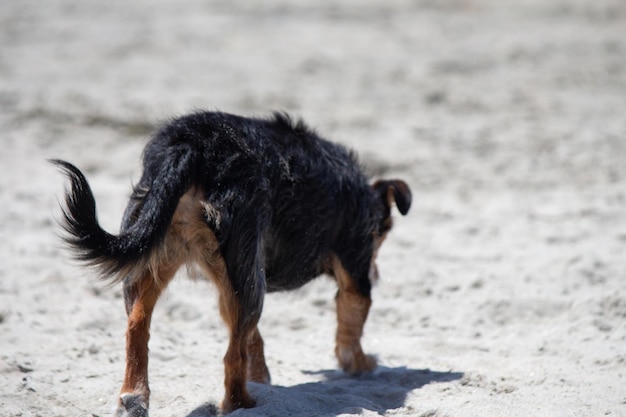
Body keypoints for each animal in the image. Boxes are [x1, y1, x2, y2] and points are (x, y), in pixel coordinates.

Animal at [50, 111, 410, 416]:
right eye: (381, 236)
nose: (378, 272)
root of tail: (192, 144)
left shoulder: (236, 278)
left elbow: (254, 339)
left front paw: (262, 376)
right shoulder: (354, 272)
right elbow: (351, 329)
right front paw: (362, 365)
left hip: (157, 251)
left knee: (138, 325)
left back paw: (134, 398)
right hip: (249, 276)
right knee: (231, 357)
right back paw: (244, 404)